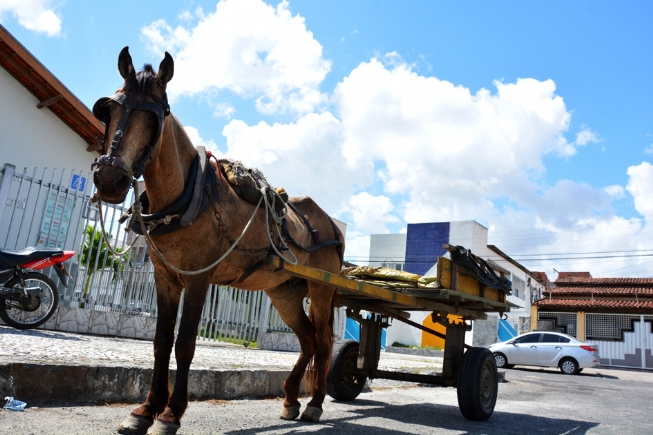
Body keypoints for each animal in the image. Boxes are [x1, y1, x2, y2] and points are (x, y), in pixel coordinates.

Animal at [92, 47, 344, 435]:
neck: (186, 197)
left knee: (323, 343)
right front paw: (146, 409)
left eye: (153, 119)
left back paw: (315, 403)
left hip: (321, 289)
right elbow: (161, 342)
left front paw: (171, 413)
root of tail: (332, 226)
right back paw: (290, 399)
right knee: (306, 340)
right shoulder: (165, 279)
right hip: (283, 292)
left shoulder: (199, 279)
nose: (108, 180)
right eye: (110, 111)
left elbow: (185, 343)